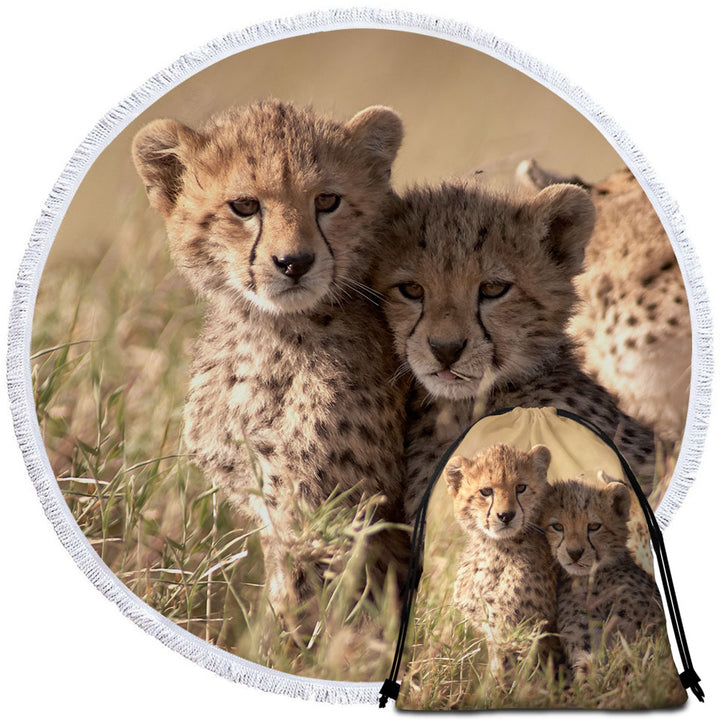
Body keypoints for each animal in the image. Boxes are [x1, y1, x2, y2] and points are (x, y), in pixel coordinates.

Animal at [131, 100, 409, 637]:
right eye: (244, 206)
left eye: (327, 200)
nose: (294, 262)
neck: (269, 335)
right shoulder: (269, 499)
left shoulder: (330, 512)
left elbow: (318, 610)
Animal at [446, 443, 560, 680]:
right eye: (486, 491)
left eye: (521, 487)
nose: (506, 515)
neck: (494, 548)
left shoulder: (517, 631)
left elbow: (505, 675)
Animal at [540, 474, 674, 688]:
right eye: (558, 527)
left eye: (594, 526)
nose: (575, 553)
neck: (592, 580)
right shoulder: (584, 641)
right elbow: (590, 671)